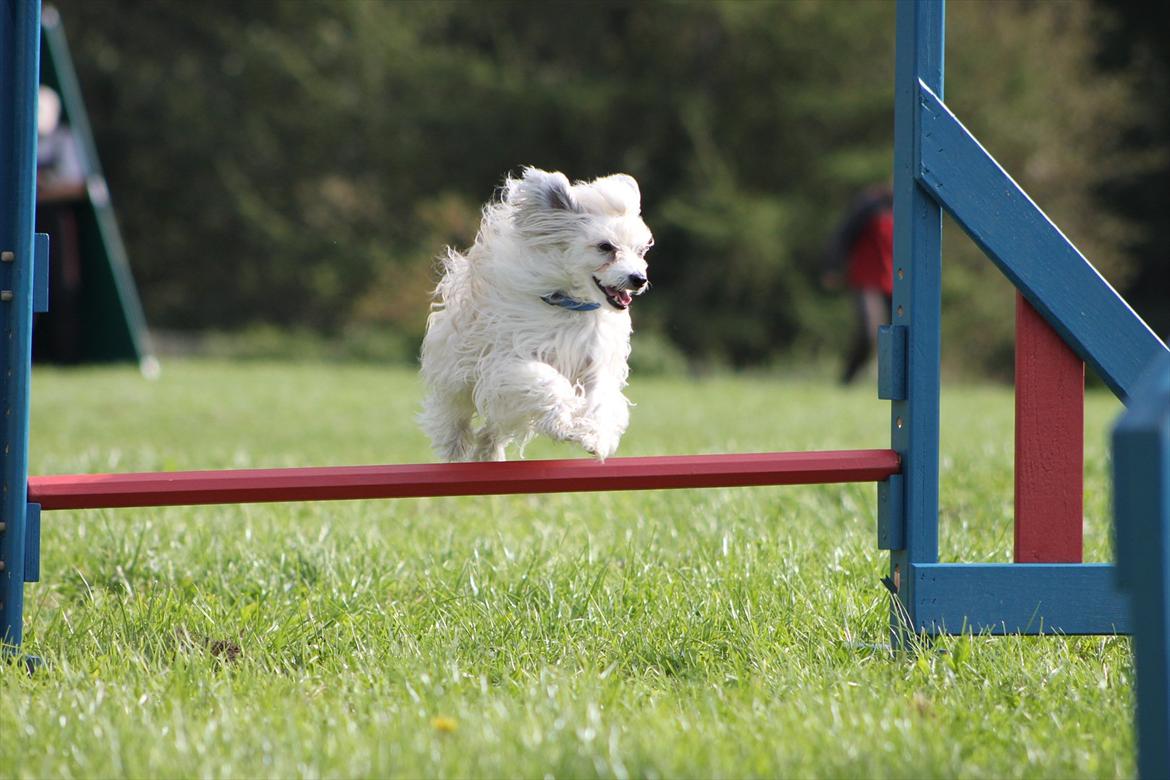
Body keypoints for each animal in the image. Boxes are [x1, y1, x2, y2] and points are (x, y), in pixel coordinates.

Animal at [421, 163, 659, 458]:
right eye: (605, 246)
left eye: (641, 250)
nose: (639, 278)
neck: (572, 306)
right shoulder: (509, 361)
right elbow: (546, 379)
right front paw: (565, 422)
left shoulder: (597, 360)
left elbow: (601, 397)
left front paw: (595, 435)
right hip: (457, 371)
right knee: (453, 413)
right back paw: (456, 448)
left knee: (492, 431)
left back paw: (488, 453)